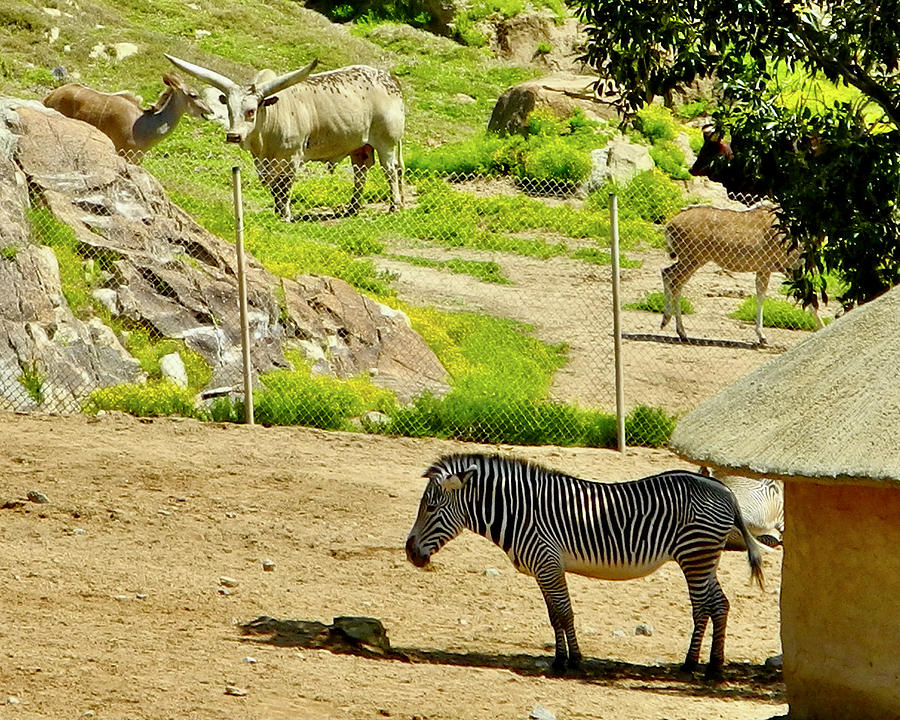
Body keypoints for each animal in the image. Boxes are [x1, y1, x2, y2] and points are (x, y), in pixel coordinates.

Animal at [164, 53, 404, 219]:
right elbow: (274, 188)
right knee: (361, 171)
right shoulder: (264, 163)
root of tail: (390, 79)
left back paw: (394, 206)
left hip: (387, 142)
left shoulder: (292, 158)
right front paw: (277, 211)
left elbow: (284, 187)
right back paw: (353, 208)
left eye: (251, 111)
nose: (233, 136)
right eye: (230, 110)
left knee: (390, 171)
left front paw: (285, 214)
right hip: (359, 145)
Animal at [404, 452, 764, 676]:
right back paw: (706, 666)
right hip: (704, 557)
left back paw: (699, 667)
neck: (519, 512)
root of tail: (724, 490)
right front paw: (559, 659)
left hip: (696, 555)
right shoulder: (544, 569)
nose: (409, 552)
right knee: (718, 604)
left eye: (431, 508)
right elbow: (554, 616)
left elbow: (564, 612)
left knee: (705, 607)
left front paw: (574, 661)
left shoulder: (547, 562)